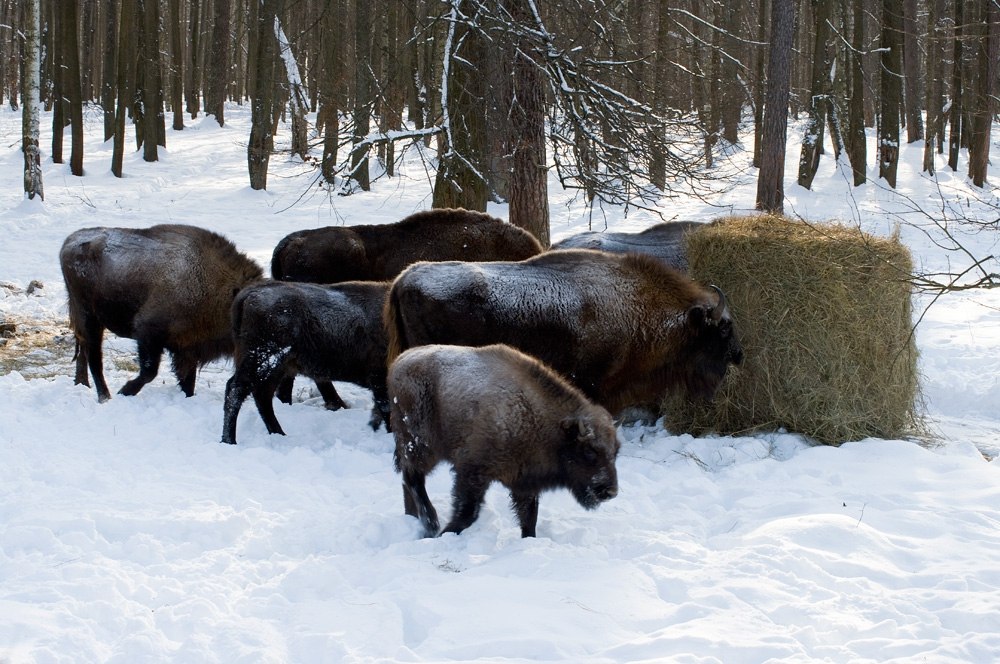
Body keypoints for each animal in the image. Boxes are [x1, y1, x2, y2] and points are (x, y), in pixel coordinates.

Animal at [58, 223, 262, 402]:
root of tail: (68, 243)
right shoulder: (148, 333)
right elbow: (150, 372)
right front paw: (125, 390)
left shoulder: (187, 348)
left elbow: (187, 381)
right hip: (89, 317)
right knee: (94, 357)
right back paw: (105, 397)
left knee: (83, 351)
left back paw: (83, 384)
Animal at [223, 278, 390, 444]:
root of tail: (249, 293)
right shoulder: (379, 380)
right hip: (264, 360)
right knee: (236, 389)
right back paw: (230, 440)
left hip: (277, 367)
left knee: (261, 395)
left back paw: (279, 434)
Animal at [388, 342, 616, 540]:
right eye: (589, 451)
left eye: (615, 453)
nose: (610, 491)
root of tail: (398, 363)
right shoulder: (472, 471)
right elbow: (468, 513)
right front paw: (446, 534)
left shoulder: (524, 483)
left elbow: (529, 517)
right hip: (422, 445)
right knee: (413, 478)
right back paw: (431, 524)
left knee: (408, 480)